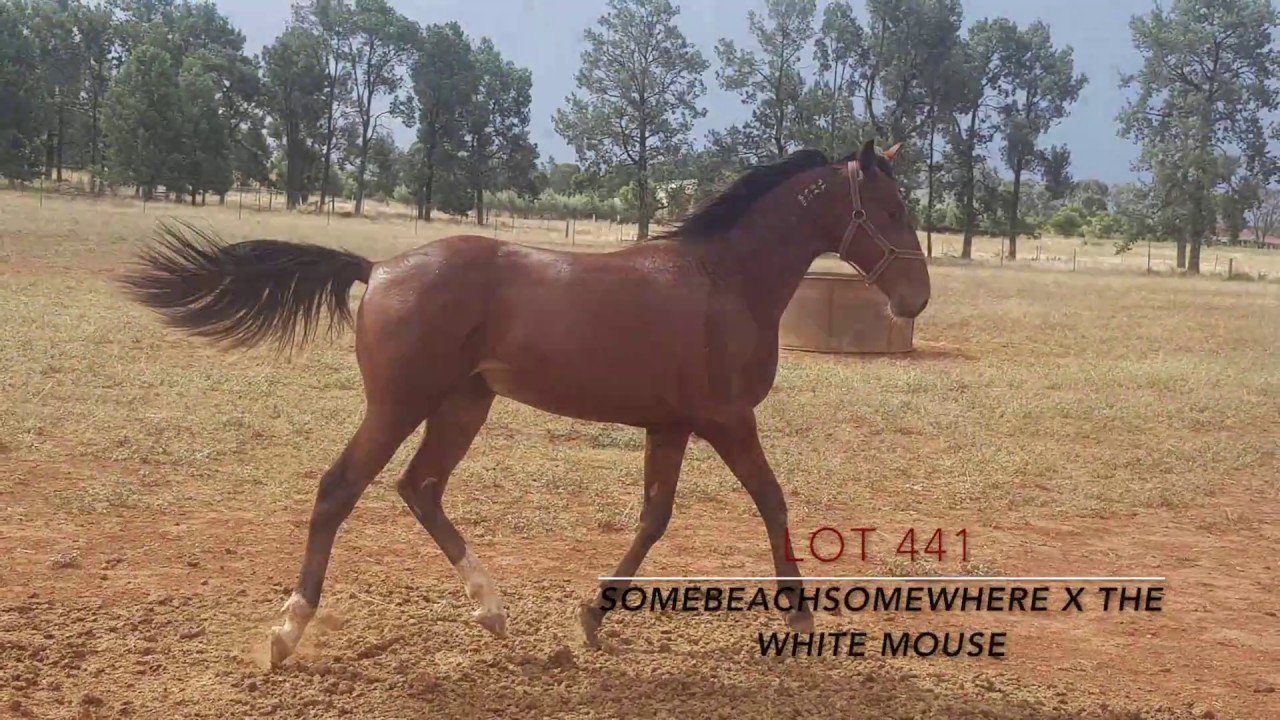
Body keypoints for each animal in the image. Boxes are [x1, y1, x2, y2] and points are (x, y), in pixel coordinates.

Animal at [117, 139, 930, 667]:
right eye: (889, 208)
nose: (916, 298)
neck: (721, 280)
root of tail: (379, 269)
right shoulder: (728, 421)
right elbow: (772, 500)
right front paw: (801, 615)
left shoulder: (670, 426)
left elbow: (654, 519)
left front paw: (591, 618)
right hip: (399, 405)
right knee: (339, 489)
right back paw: (288, 633)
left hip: (461, 406)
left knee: (420, 488)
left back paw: (492, 608)